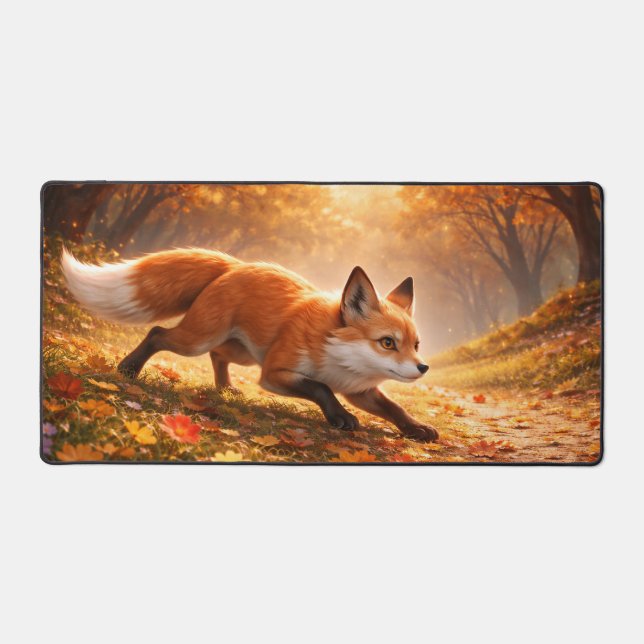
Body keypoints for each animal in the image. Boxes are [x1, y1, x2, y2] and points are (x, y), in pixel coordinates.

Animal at [61, 248, 438, 442]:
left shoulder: (361, 391)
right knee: (157, 333)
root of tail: (237, 265)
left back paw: (225, 389)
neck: (339, 361)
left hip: (240, 351)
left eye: (417, 344)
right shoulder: (274, 374)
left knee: (218, 356)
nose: (423, 368)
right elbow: (320, 388)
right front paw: (340, 417)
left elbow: (395, 408)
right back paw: (129, 368)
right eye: (388, 343)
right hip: (197, 340)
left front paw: (417, 428)